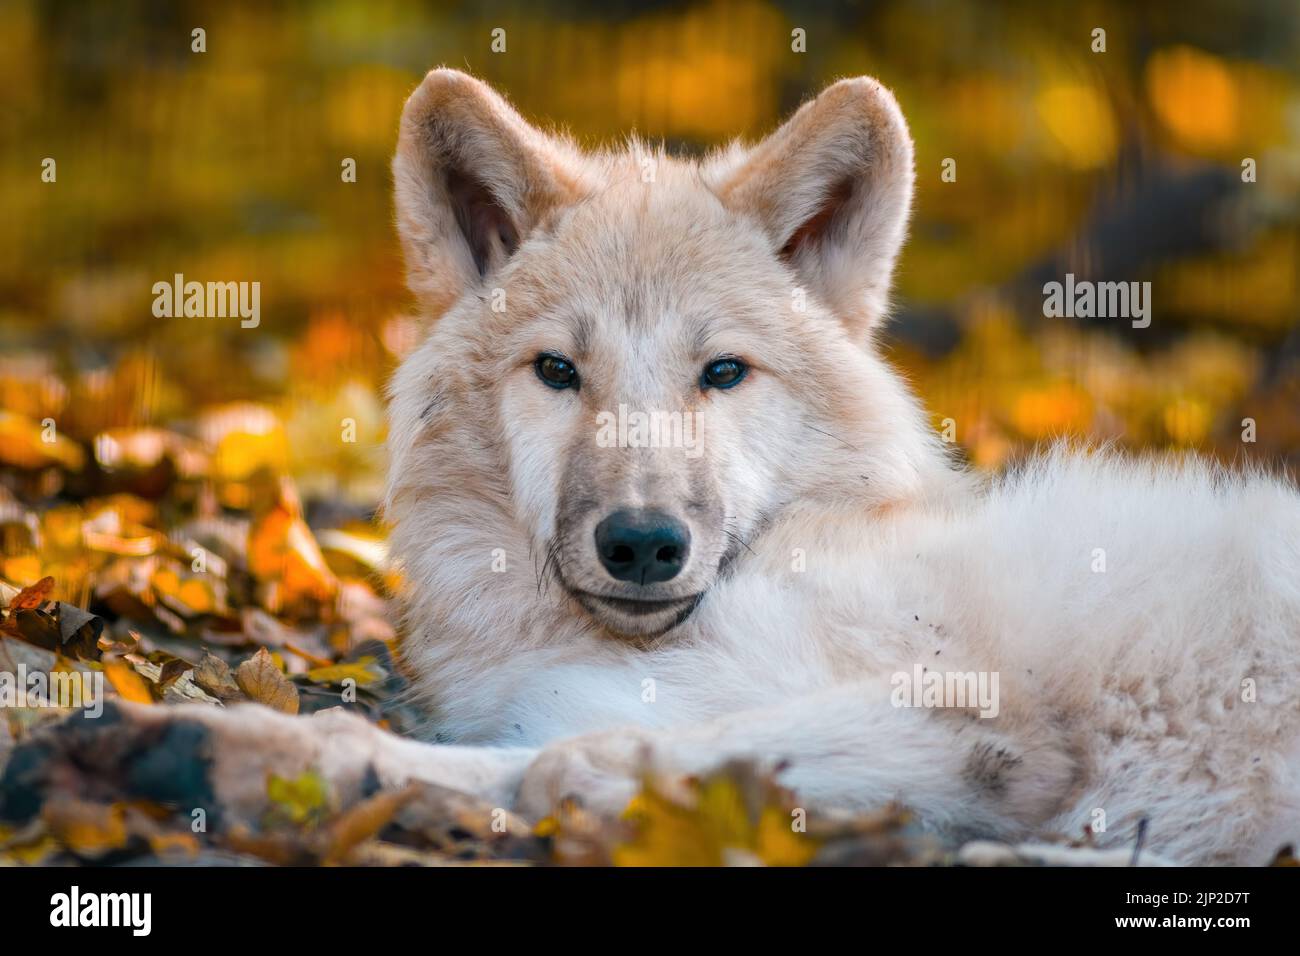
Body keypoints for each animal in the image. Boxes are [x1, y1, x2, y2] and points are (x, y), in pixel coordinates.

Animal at [12, 65, 1300, 858]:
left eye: (721, 372)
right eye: (556, 371)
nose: (642, 543)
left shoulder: (964, 715)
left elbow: (564, 767)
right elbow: (444, 758)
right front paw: (199, 753)